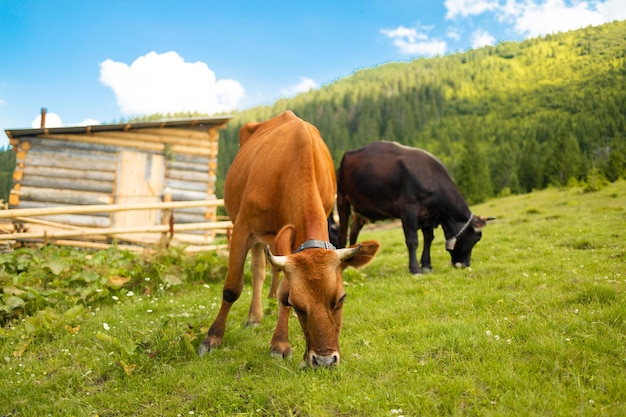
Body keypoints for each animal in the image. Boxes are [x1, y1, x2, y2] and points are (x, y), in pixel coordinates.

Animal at [197, 111, 378, 368]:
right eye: (298, 305)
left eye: (341, 298)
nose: (325, 360)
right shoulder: (243, 227)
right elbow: (232, 288)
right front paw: (212, 338)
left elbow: (282, 291)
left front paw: (280, 344)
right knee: (257, 270)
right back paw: (253, 317)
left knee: (261, 270)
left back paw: (256, 317)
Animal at [334, 141, 490, 274]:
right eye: (475, 238)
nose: (465, 264)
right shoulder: (409, 209)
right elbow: (413, 240)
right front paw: (415, 269)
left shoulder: (428, 214)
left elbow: (428, 239)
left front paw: (427, 265)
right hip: (342, 200)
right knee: (343, 232)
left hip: (359, 210)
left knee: (353, 232)